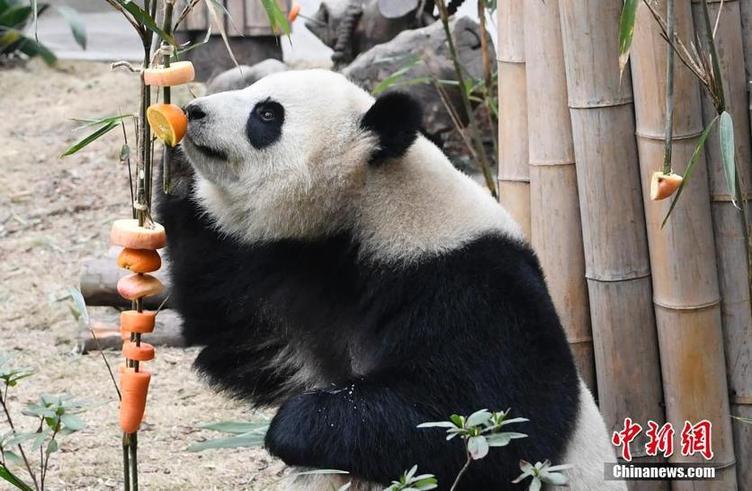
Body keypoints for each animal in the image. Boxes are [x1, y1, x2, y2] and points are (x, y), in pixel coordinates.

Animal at [157, 70, 624, 491]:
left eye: (267, 114)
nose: (194, 111)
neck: (374, 205)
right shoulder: (296, 269)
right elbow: (234, 330)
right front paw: (173, 171)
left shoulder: (467, 284)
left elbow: (492, 421)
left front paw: (297, 422)